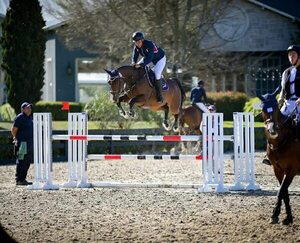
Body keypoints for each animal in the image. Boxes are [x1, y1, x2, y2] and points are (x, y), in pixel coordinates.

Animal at [256, 88, 300, 225]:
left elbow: (281, 191)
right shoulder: (278, 169)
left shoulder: (291, 170)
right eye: (263, 109)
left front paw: (275, 214)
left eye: (275, 109)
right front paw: (286, 217)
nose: (272, 131)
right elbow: (284, 192)